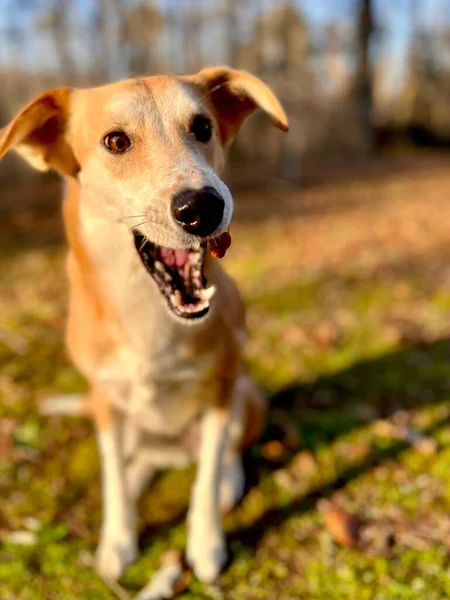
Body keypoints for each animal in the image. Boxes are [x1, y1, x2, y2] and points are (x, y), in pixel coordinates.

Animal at [0, 67, 288, 584]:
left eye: (203, 127)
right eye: (115, 141)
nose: (203, 207)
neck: (149, 314)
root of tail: (172, 451)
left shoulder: (222, 387)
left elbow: (208, 471)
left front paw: (206, 543)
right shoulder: (105, 398)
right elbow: (112, 474)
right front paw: (118, 540)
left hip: (248, 394)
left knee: (225, 454)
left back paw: (227, 482)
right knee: (133, 462)